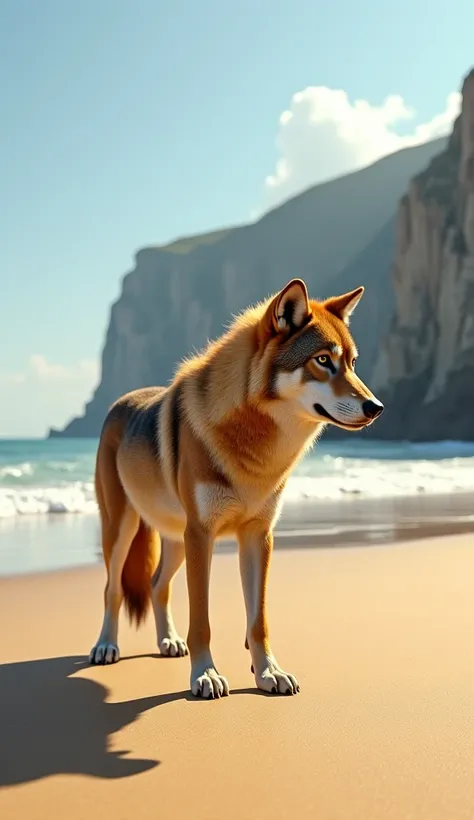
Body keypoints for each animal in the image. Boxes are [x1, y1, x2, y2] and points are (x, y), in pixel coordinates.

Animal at [90, 278, 386, 696]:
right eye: (323, 360)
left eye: (352, 363)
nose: (376, 407)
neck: (256, 448)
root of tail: (122, 400)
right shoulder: (202, 536)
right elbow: (202, 621)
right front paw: (205, 675)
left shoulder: (258, 537)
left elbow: (258, 621)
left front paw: (269, 673)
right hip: (124, 531)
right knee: (112, 589)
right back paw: (106, 646)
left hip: (176, 539)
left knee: (156, 584)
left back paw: (168, 641)